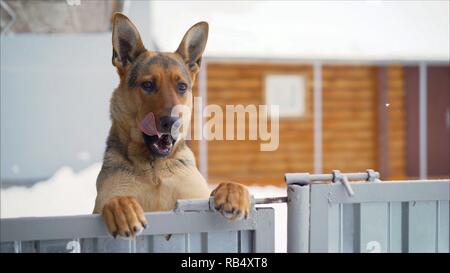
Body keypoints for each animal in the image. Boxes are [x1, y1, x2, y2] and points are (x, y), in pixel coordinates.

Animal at [93, 13, 251, 237]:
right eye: (148, 85)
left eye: (182, 87)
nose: (172, 122)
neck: (154, 169)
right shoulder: (98, 206)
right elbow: (114, 199)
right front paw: (123, 207)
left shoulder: (194, 200)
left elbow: (223, 187)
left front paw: (232, 191)